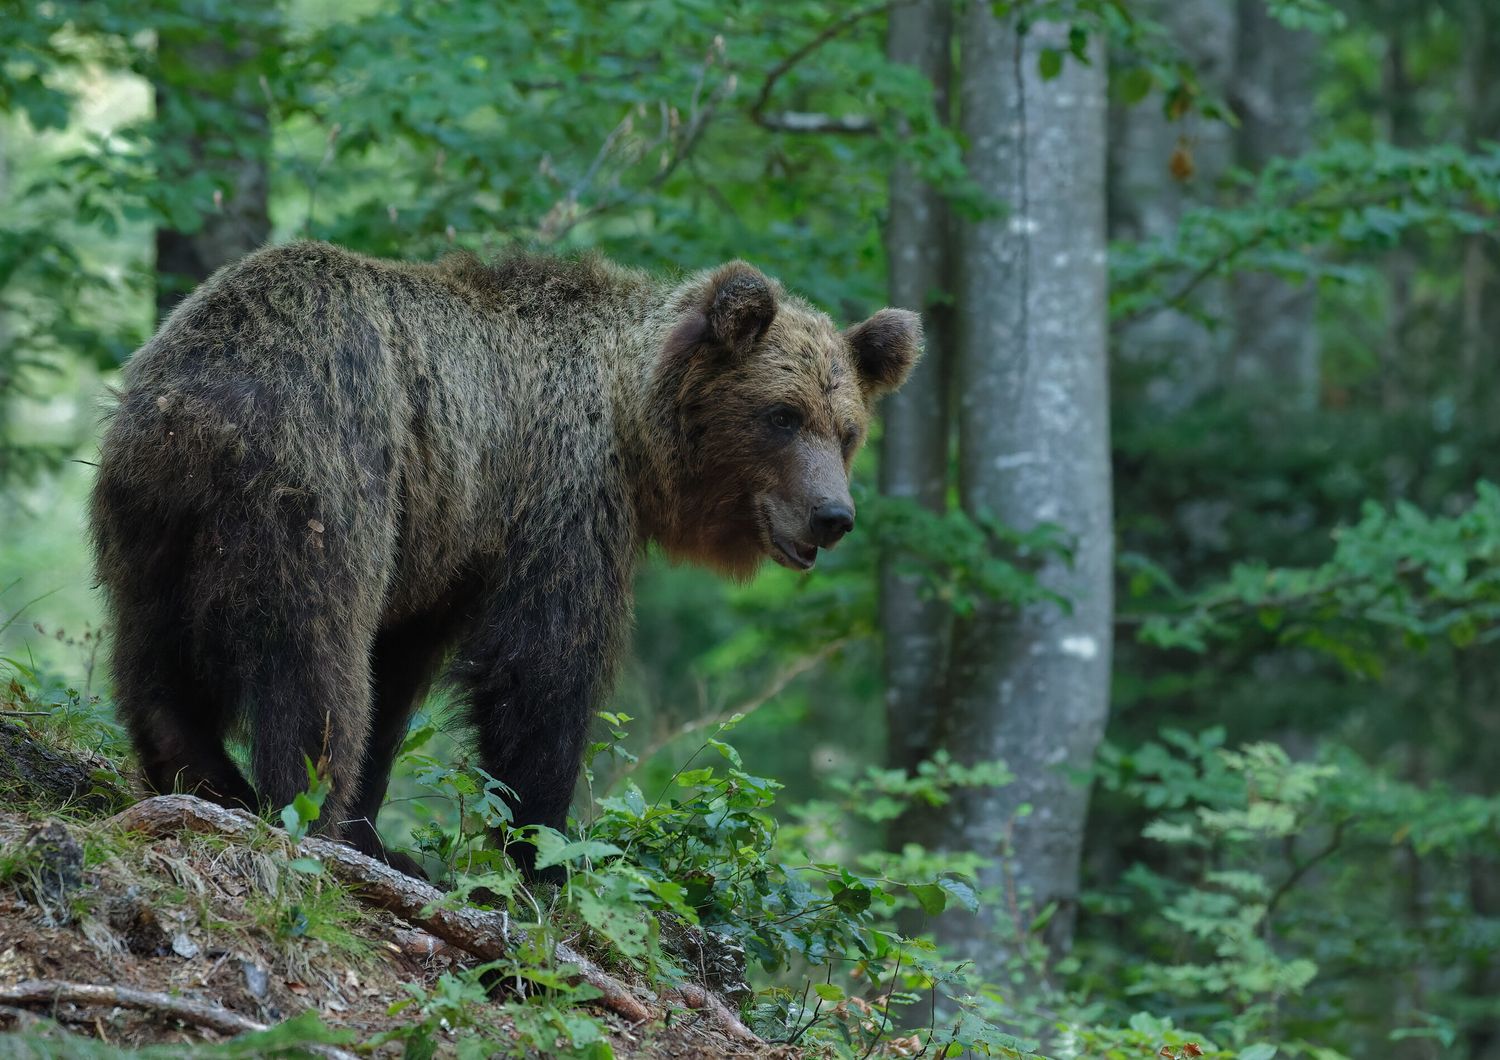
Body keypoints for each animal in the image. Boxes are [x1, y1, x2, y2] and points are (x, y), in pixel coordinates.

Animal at [87, 242, 918, 881]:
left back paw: (206, 779)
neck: (630, 422)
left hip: (154, 513)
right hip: (325, 473)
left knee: (152, 655)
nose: (833, 516)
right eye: (782, 415)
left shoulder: (442, 549)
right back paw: (300, 811)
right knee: (313, 658)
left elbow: (399, 674)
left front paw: (380, 832)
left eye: (846, 429)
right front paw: (544, 851)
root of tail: (201, 394)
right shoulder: (559, 497)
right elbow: (542, 670)